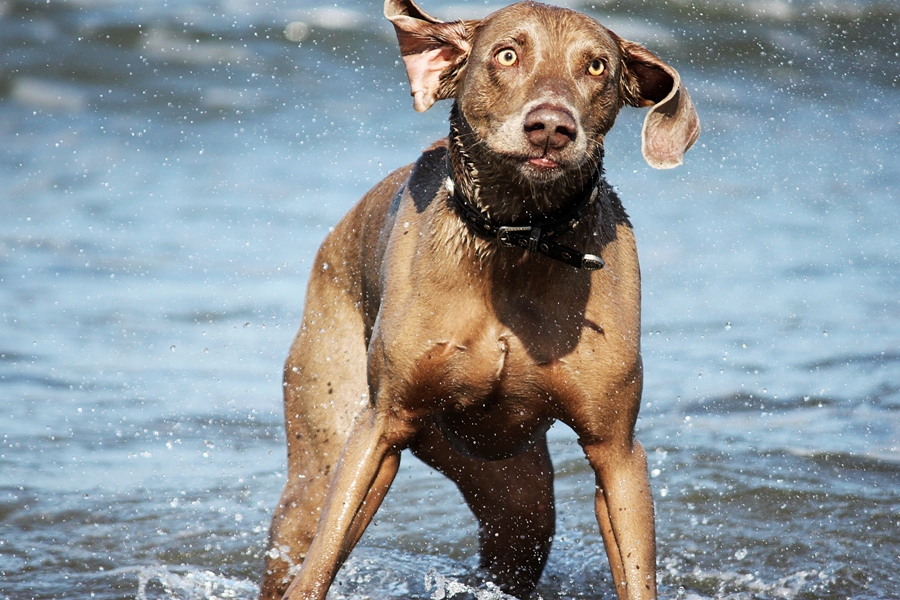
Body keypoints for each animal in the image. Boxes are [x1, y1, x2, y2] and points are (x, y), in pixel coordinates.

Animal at [256, 2, 700, 596]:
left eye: (597, 66)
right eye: (507, 55)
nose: (551, 127)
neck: (513, 240)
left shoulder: (616, 447)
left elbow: (634, 566)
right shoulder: (381, 424)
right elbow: (323, 557)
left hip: (515, 492)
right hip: (319, 457)